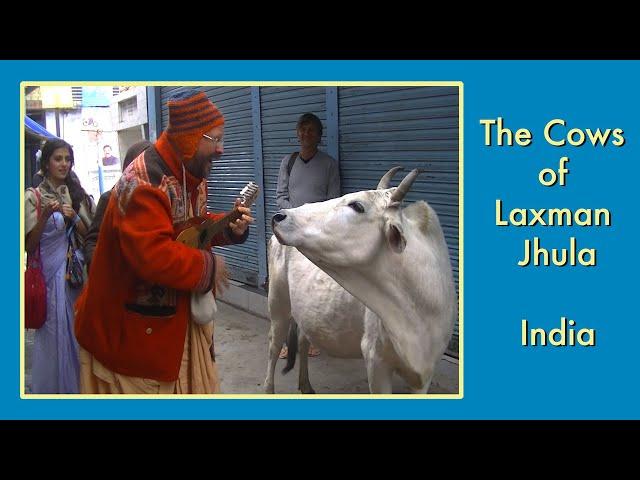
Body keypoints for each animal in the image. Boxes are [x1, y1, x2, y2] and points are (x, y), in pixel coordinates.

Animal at [268, 169, 458, 394]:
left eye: (357, 206)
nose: (279, 216)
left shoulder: (425, 375)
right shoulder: (376, 361)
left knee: (303, 340)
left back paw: (305, 385)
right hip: (278, 305)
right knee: (273, 347)